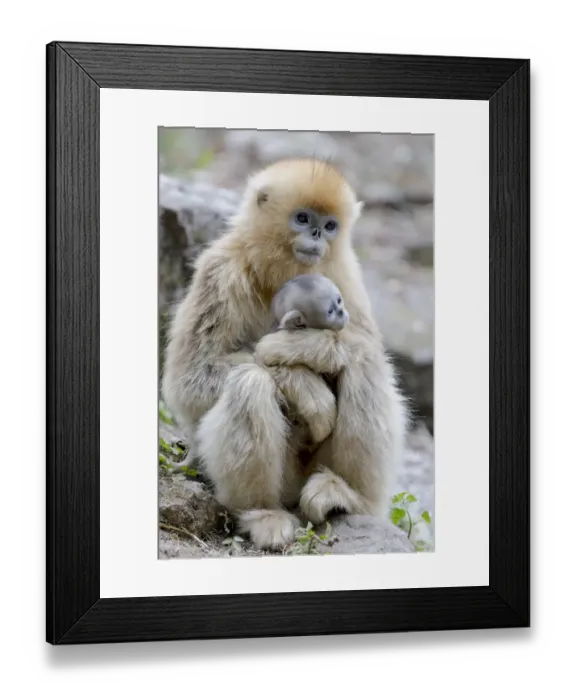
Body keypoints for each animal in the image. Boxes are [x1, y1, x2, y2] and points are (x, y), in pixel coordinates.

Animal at [161, 157, 408, 551]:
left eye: (330, 225)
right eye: (303, 218)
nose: (318, 234)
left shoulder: (345, 273)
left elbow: (367, 344)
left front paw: (293, 347)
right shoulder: (220, 271)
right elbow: (188, 382)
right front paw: (305, 387)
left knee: (363, 362)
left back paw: (347, 495)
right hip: (284, 481)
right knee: (250, 382)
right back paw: (263, 514)